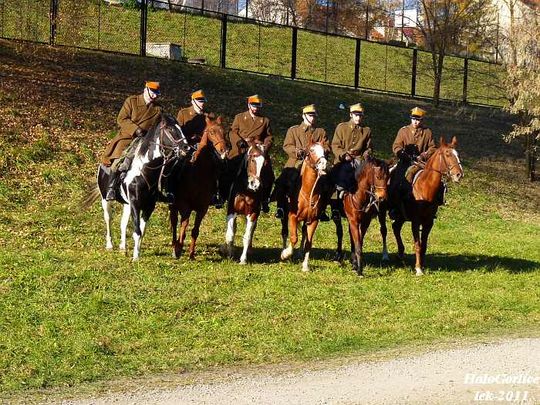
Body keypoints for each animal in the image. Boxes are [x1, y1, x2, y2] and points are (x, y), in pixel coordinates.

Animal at [83, 113, 191, 261]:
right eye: (170, 129)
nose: (187, 148)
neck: (144, 171)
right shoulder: (135, 203)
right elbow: (137, 230)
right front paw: (136, 257)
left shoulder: (148, 206)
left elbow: (142, 230)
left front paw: (137, 252)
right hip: (105, 199)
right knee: (108, 219)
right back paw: (110, 245)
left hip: (126, 204)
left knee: (123, 223)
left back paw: (123, 247)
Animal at [169, 115, 228, 259]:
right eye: (211, 132)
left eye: (224, 132)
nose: (223, 150)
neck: (198, 172)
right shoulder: (185, 205)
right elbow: (183, 227)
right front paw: (178, 249)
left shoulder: (202, 208)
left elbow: (195, 230)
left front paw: (191, 254)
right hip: (174, 205)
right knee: (174, 222)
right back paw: (174, 244)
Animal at [280, 141, 328, 272]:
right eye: (311, 150)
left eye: (325, 150)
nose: (323, 163)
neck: (307, 190)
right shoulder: (292, 217)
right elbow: (293, 237)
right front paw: (286, 254)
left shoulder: (313, 220)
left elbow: (308, 243)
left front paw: (305, 266)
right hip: (284, 214)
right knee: (285, 232)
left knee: (304, 233)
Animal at [381, 136, 464, 275]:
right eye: (447, 154)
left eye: (457, 154)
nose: (459, 174)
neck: (425, 187)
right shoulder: (415, 221)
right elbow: (418, 244)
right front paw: (418, 268)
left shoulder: (429, 222)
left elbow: (424, 245)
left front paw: (423, 265)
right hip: (381, 211)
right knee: (384, 230)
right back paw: (385, 255)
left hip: (401, 216)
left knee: (396, 227)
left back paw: (401, 253)